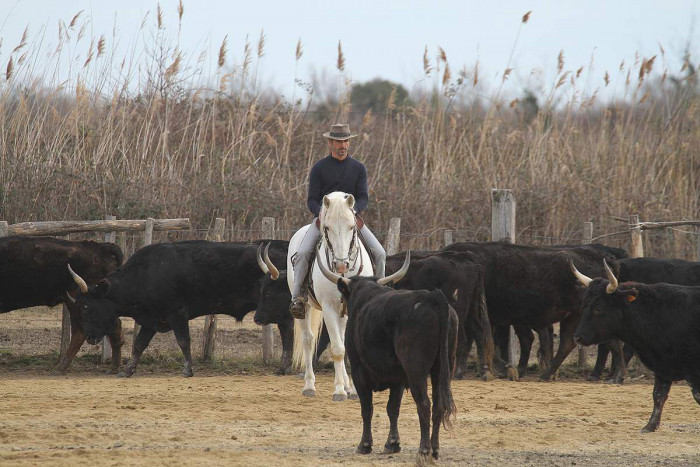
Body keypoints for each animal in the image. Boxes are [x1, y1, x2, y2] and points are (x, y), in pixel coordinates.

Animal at [70, 239, 288, 378]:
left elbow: (183, 341)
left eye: (87, 307)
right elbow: (139, 344)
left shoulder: (177, 315)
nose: (89, 336)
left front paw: (188, 370)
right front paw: (127, 370)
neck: (146, 274)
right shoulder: (151, 320)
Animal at [288, 192, 374, 400]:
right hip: (305, 308)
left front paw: (351, 389)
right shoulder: (328, 308)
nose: (341, 264)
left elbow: (346, 347)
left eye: (352, 226)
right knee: (308, 340)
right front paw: (339, 390)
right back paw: (309, 386)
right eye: (327, 227)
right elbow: (337, 349)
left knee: (340, 339)